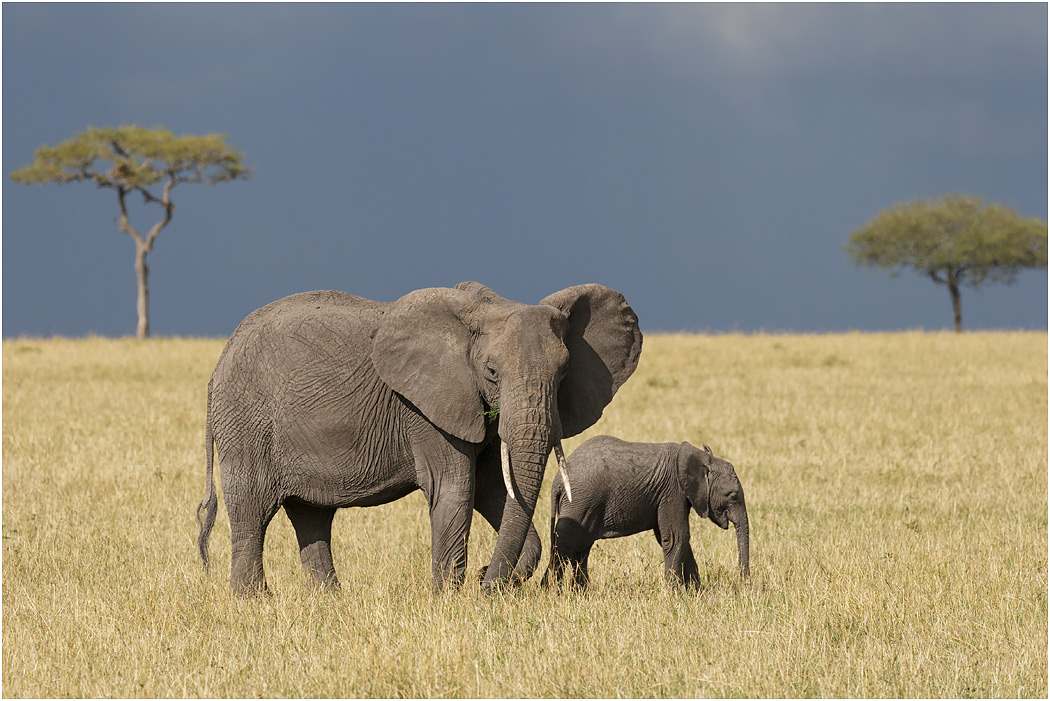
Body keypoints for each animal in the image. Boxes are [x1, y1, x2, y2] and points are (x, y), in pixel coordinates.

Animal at [196, 282, 642, 594]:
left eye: (564, 372)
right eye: (491, 372)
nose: (486, 579)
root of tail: (218, 364)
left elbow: (496, 491)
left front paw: (498, 582)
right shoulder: (426, 411)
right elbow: (457, 491)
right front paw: (450, 600)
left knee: (312, 516)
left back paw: (330, 601)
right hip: (246, 423)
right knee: (252, 512)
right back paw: (253, 602)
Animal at [541, 436, 749, 591]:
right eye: (732, 496)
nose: (743, 585)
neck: (698, 457)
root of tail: (557, 482)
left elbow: (676, 539)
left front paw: (695, 592)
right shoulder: (673, 491)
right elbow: (676, 537)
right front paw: (674, 594)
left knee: (581, 547)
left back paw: (580, 592)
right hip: (580, 503)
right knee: (565, 545)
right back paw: (549, 592)